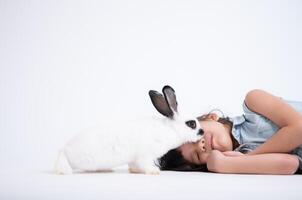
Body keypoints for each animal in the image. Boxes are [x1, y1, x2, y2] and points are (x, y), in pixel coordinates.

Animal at [54, 85, 203, 174]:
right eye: (191, 124)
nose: (202, 132)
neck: (170, 129)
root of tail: (64, 150)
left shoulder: (135, 159)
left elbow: (134, 165)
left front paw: (135, 171)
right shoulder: (145, 155)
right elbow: (145, 164)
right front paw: (154, 171)